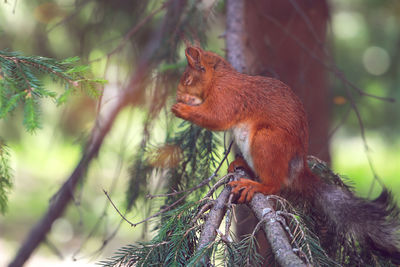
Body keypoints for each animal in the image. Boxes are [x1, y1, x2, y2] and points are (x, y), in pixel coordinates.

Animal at [171, 45, 400, 264]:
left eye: (188, 79)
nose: (178, 95)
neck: (219, 78)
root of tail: (297, 169)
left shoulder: (227, 96)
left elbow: (216, 117)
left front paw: (181, 110)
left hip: (266, 142)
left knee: (274, 184)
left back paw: (255, 185)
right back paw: (241, 163)